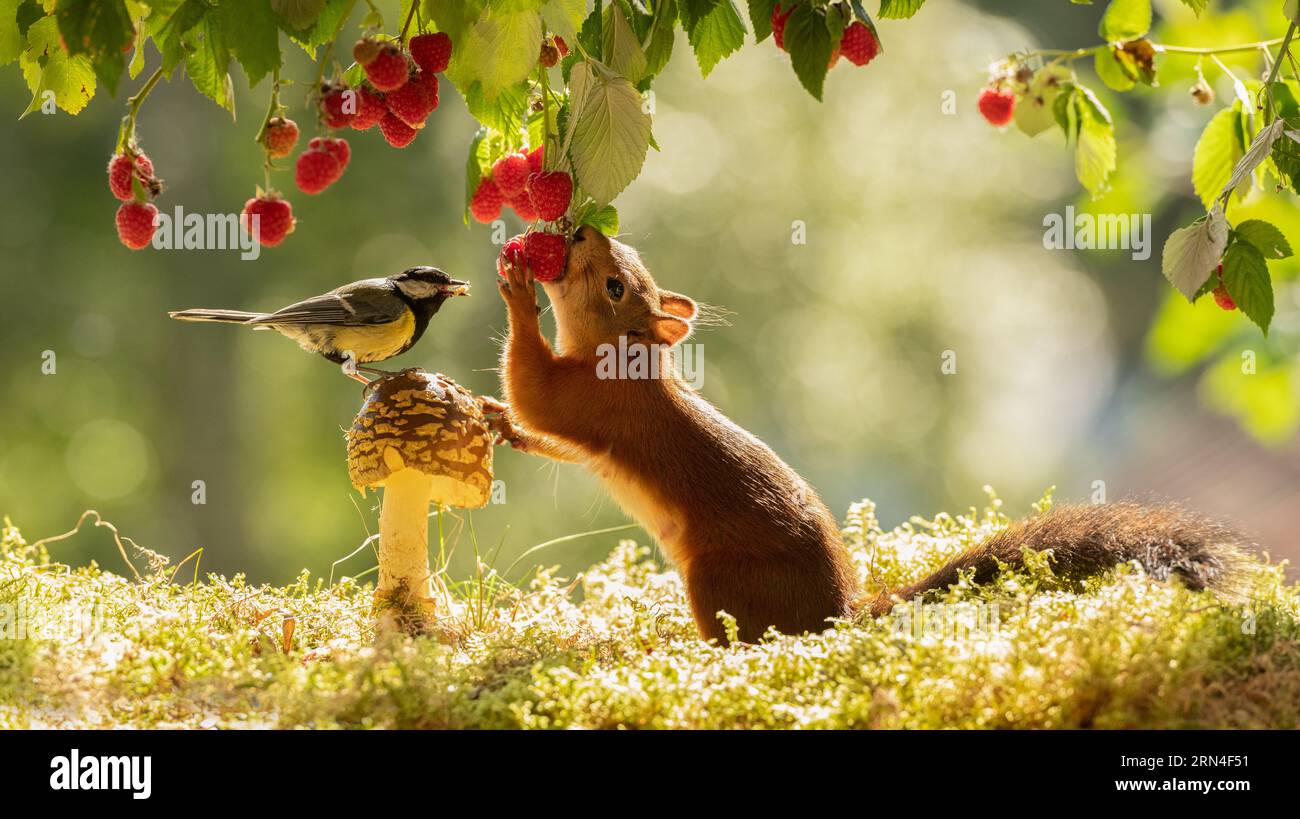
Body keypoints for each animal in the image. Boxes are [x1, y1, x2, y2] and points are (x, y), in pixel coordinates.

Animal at [489, 226, 1252, 644]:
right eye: (624, 255)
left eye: (615, 285)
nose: (580, 231)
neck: (627, 358)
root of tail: (841, 611)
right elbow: (542, 432)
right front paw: (499, 425)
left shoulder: (591, 400)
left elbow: (536, 394)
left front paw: (517, 290)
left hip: (717, 579)